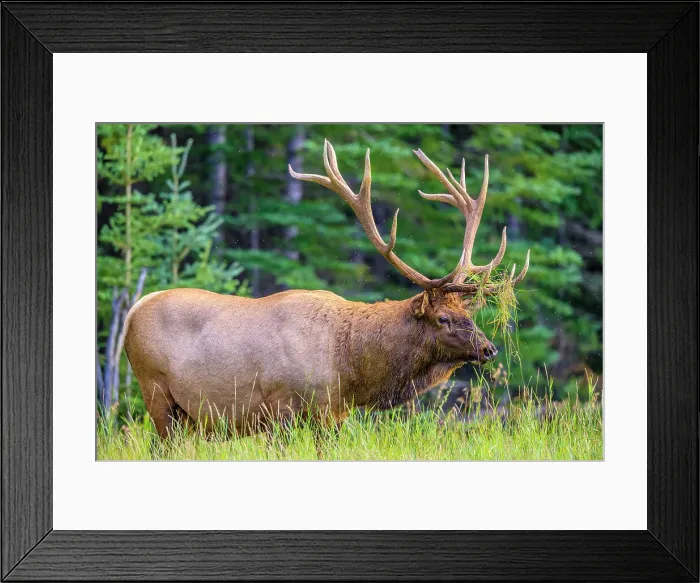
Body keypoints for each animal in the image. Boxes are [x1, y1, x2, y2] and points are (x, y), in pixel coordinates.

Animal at [124, 140, 529, 439]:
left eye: (467, 312)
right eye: (443, 318)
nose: (489, 348)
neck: (350, 368)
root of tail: (132, 310)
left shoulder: (333, 416)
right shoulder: (282, 409)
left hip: (186, 416)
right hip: (156, 390)